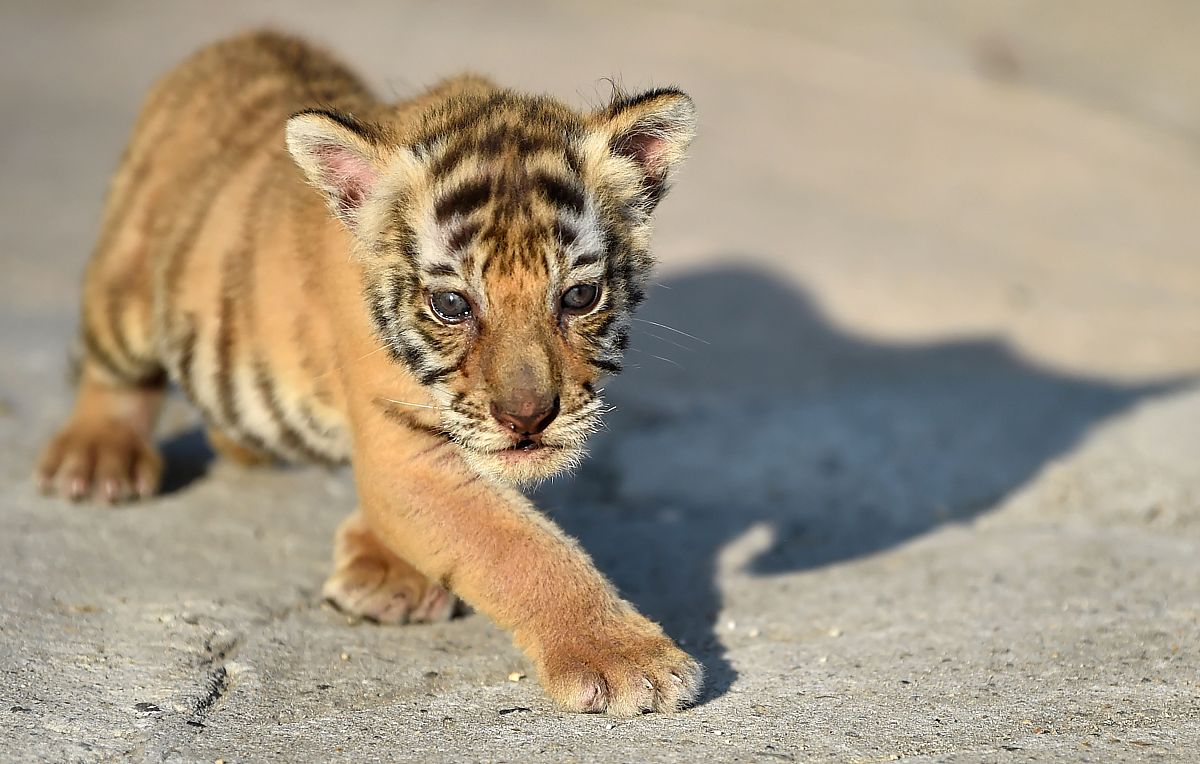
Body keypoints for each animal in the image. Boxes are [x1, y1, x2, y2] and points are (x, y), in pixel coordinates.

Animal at [34, 30, 701, 715]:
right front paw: (626, 658)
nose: (528, 419)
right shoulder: (405, 448)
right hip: (128, 296)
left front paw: (386, 569)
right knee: (113, 371)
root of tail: (243, 37)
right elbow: (518, 548)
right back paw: (98, 459)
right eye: (452, 305)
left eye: (579, 297)